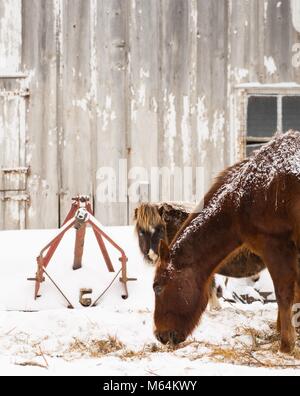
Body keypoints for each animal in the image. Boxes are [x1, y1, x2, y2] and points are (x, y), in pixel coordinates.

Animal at [154, 131, 300, 354]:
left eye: (157, 287)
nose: (160, 336)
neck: (242, 197)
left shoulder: (276, 245)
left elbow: (284, 294)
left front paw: (286, 344)